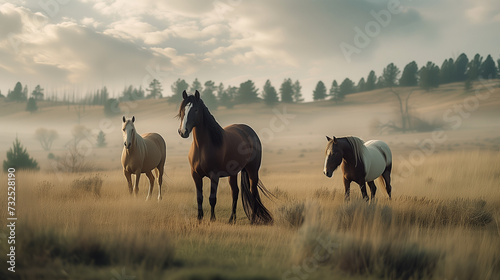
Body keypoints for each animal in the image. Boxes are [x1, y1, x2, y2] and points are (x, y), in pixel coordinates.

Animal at [178, 91, 274, 224]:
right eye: (183, 109)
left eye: (196, 110)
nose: (183, 132)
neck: (202, 146)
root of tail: (250, 131)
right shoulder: (195, 175)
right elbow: (199, 197)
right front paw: (199, 218)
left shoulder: (214, 175)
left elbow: (212, 198)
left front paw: (212, 219)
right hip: (233, 174)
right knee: (235, 192)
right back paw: (231, 219)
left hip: (253, 170)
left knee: (253, 192)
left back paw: (253, 220)